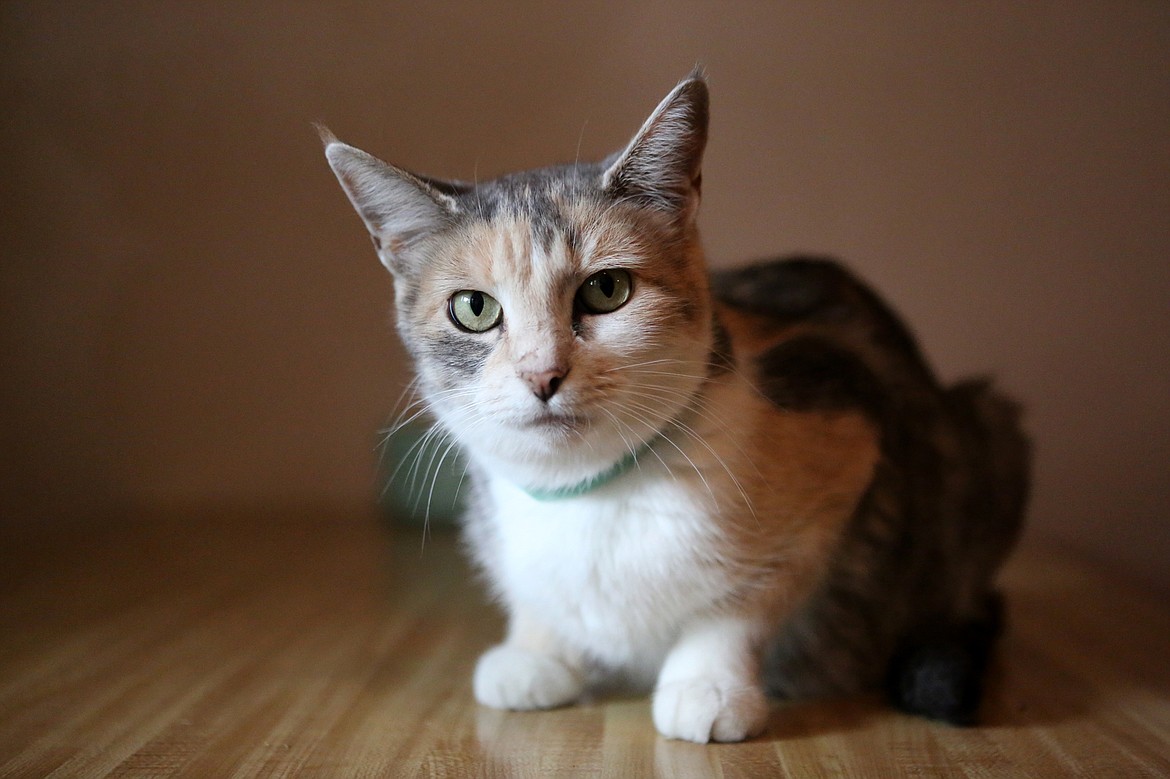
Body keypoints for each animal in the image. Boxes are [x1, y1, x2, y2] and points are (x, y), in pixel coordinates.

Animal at [320, 68, 1024, 739]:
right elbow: (536, 600)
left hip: (991, 425)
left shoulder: (847, 433)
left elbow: (742, 604)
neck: (592, 495)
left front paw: (707, 687)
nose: (542, 374)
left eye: (607, 290)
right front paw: (536, 651)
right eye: (473, 308)